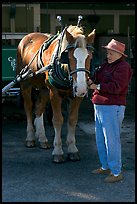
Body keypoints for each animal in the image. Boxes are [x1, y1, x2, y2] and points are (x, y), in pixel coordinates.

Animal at [16, 25, 95, 163]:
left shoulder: (76, 96)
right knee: (29, 108)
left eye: (89, 57)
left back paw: (42, 138)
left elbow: (72, 120)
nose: (81, 88)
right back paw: (30, 137)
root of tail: (27, 37)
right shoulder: (54, 93)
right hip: (25, 84)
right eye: (69, 58)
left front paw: (72, 149)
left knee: (39, 109)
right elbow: (58, 120)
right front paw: (58, 151)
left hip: (44, 89)